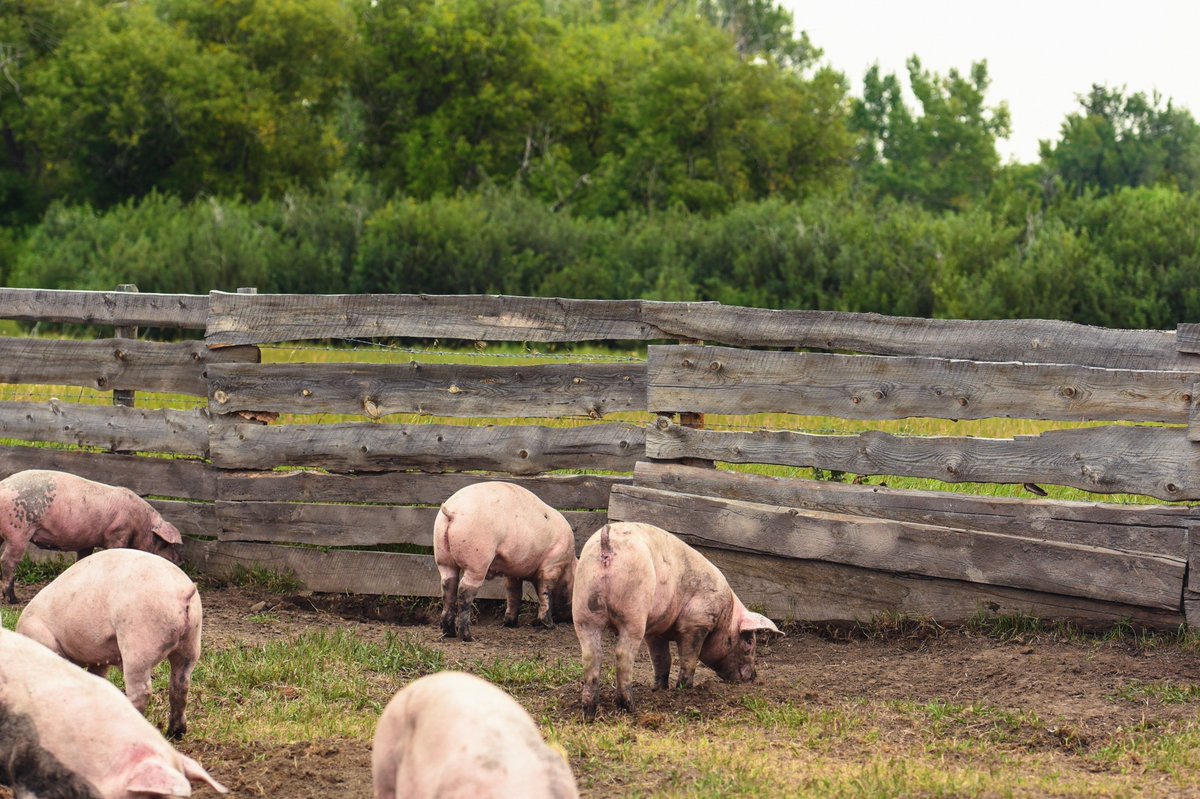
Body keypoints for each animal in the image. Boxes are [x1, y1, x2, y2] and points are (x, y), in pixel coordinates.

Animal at [0, 469, 184, 603]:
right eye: (165, 543)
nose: (180, 561)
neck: (141, 524)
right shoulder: (117, 534)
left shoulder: (86, 542)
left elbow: (82, 560)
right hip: (19, 530)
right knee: (7, 560)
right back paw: (13, 600)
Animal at [16, 548, 202, 740]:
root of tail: (182, 592)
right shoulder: (99, 659)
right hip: (191, 643)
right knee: (180, 684)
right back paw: (175, 733)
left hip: (139, 643)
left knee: (142, 691)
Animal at [433, 481, 576, 642]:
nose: (570, 619)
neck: (568, 566)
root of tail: (452, 511)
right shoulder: (552, 564)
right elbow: (545, 593)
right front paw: (549, 626)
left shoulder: (514, 572)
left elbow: (513, 592)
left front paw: (510, 624)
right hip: (477, 559)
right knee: (465, 590)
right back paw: (468, 637)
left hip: (443, 557)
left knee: (448, 587)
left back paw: (448, 633)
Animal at [572, 522, 782, 721]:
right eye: (749, 642)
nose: (753, 677)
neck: (726, 614)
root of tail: (606, 545)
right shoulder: (697, 622)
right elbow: (689, 658)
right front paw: (684, 689)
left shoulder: (655, 631)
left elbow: (662, 659)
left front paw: (659, 689)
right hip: (633, 611)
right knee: (622, 654)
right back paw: (629, 708)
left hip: (584, 607)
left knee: (592, 655)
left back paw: (588, 714)